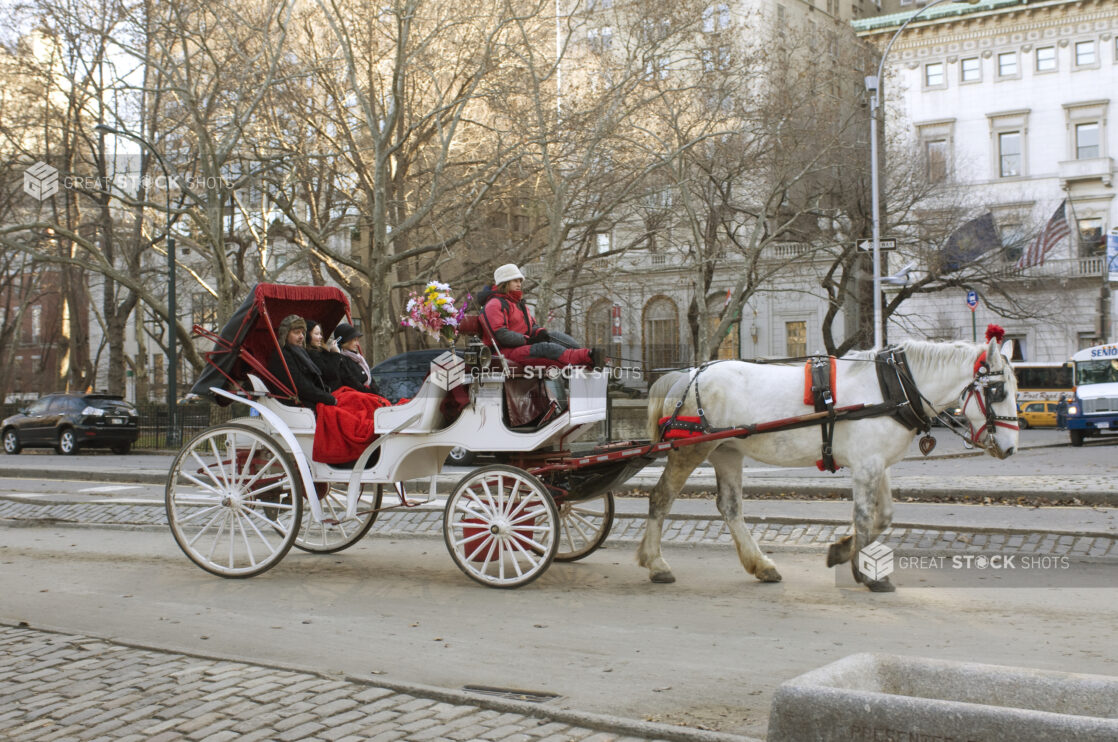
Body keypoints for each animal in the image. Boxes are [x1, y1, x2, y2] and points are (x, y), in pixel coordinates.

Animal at [639, 337, 1024, 590]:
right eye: (999, 391)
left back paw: (761, 565)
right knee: (661, 497)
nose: (1010, 449)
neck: (893, 388)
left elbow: (884, 516)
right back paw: (655, 563)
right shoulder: (867, 465)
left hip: (726, 450)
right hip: (690, 450)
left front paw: (842, 552)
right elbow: (865, 516)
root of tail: (687, 375)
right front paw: (866, 573)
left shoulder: (877, 462)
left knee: (730, 507)